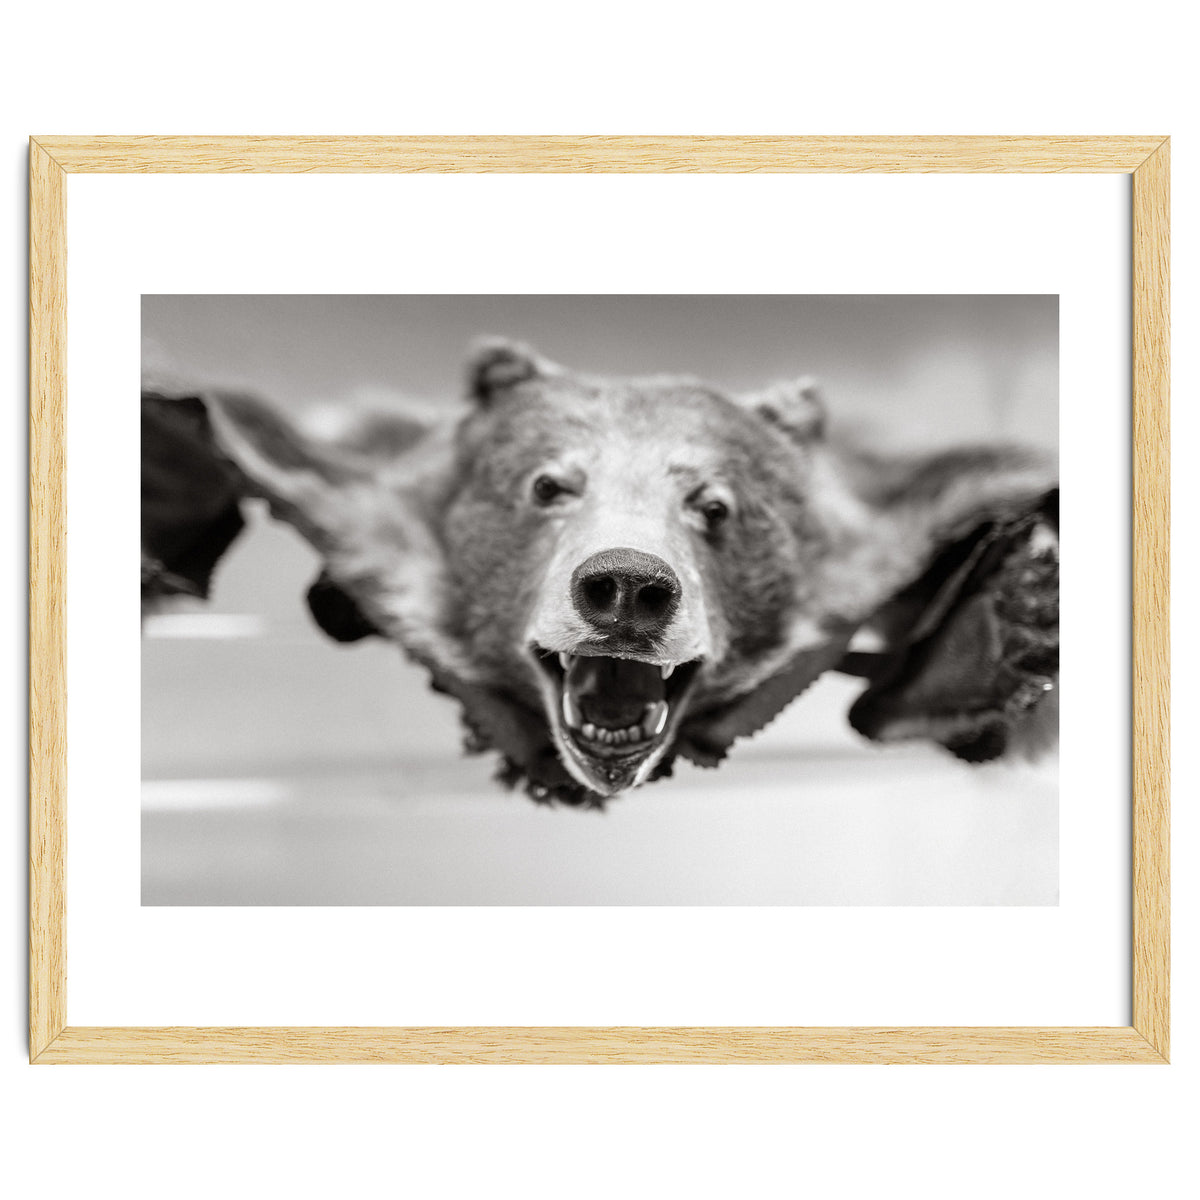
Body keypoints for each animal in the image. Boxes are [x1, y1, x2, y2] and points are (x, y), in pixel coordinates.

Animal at [142, 340, 1059, 807]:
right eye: (548, 485)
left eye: (714, 504)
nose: (626, 586)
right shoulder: (345, 501)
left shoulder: (896, 526)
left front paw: (1020, 620)